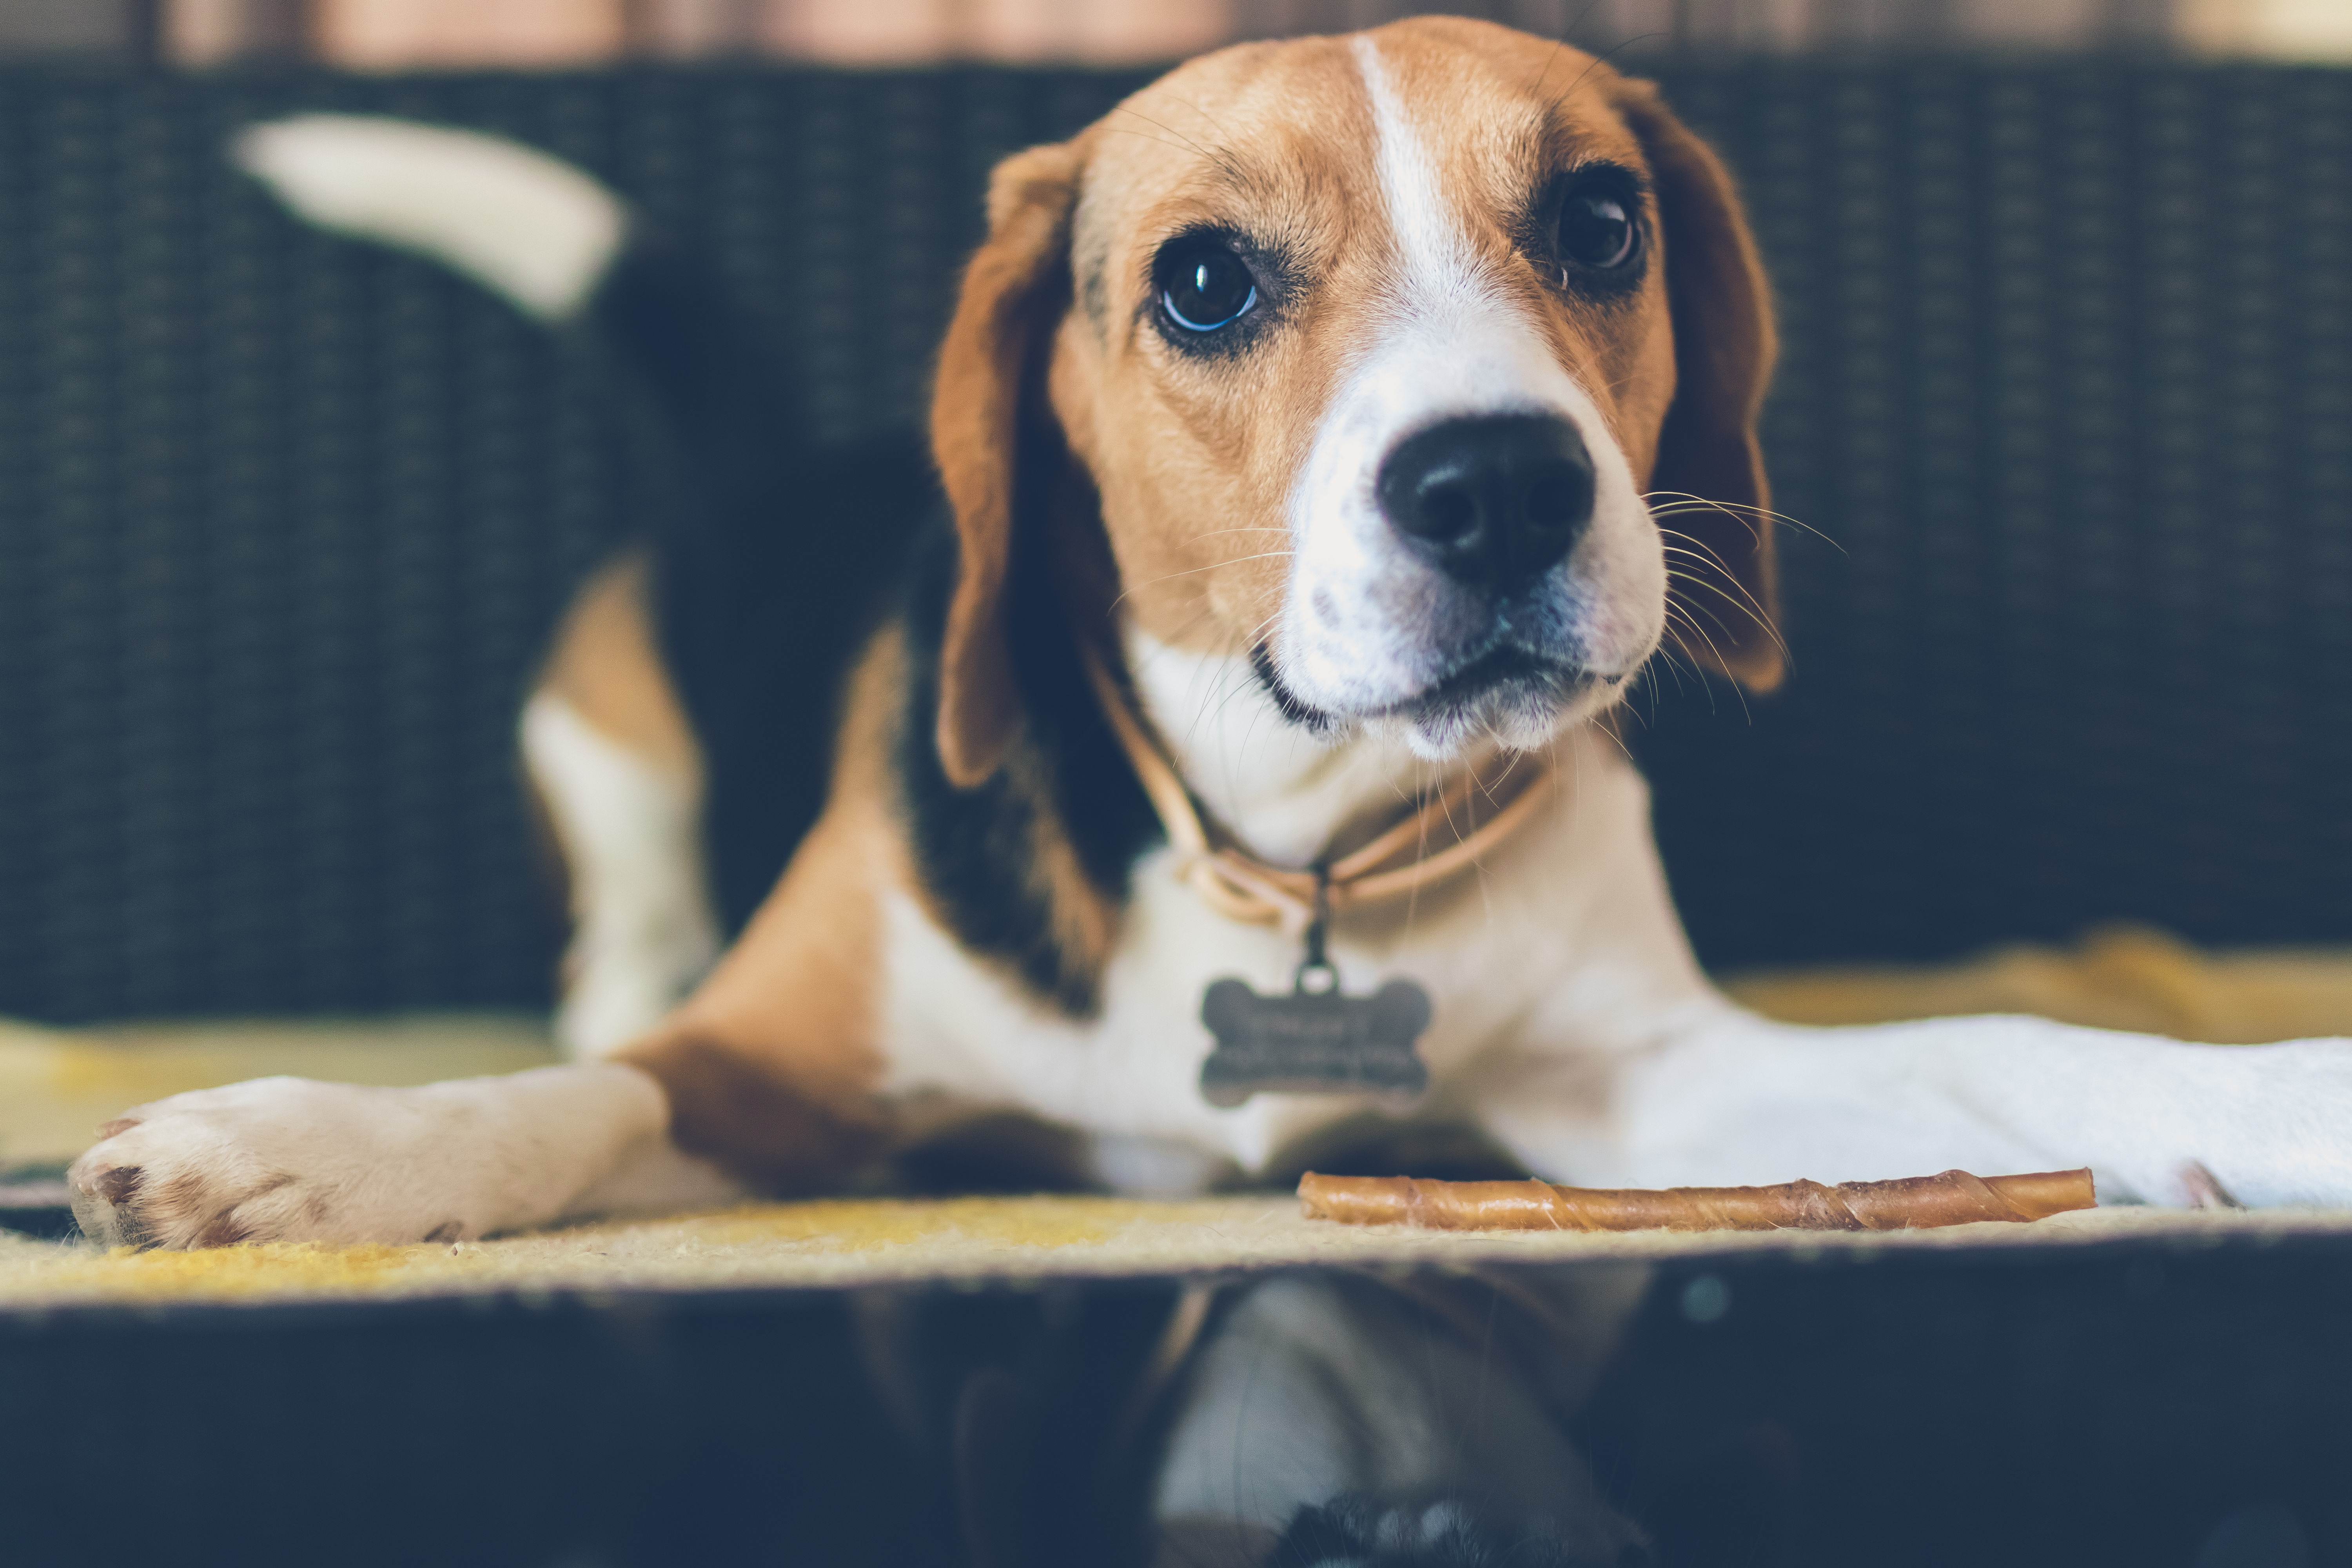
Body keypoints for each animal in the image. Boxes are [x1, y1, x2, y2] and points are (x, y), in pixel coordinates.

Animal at [60, 18, 2352, 1250]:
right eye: (1202, 282)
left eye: (1601, 218)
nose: (1498, 485)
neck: (1285, 835)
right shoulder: (764, 1058)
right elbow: (572, 1100)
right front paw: (303, 1149)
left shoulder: (1648, 1086)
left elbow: (2019, 1046)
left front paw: (2283, 1099)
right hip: (600, 731)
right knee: (619, 940)